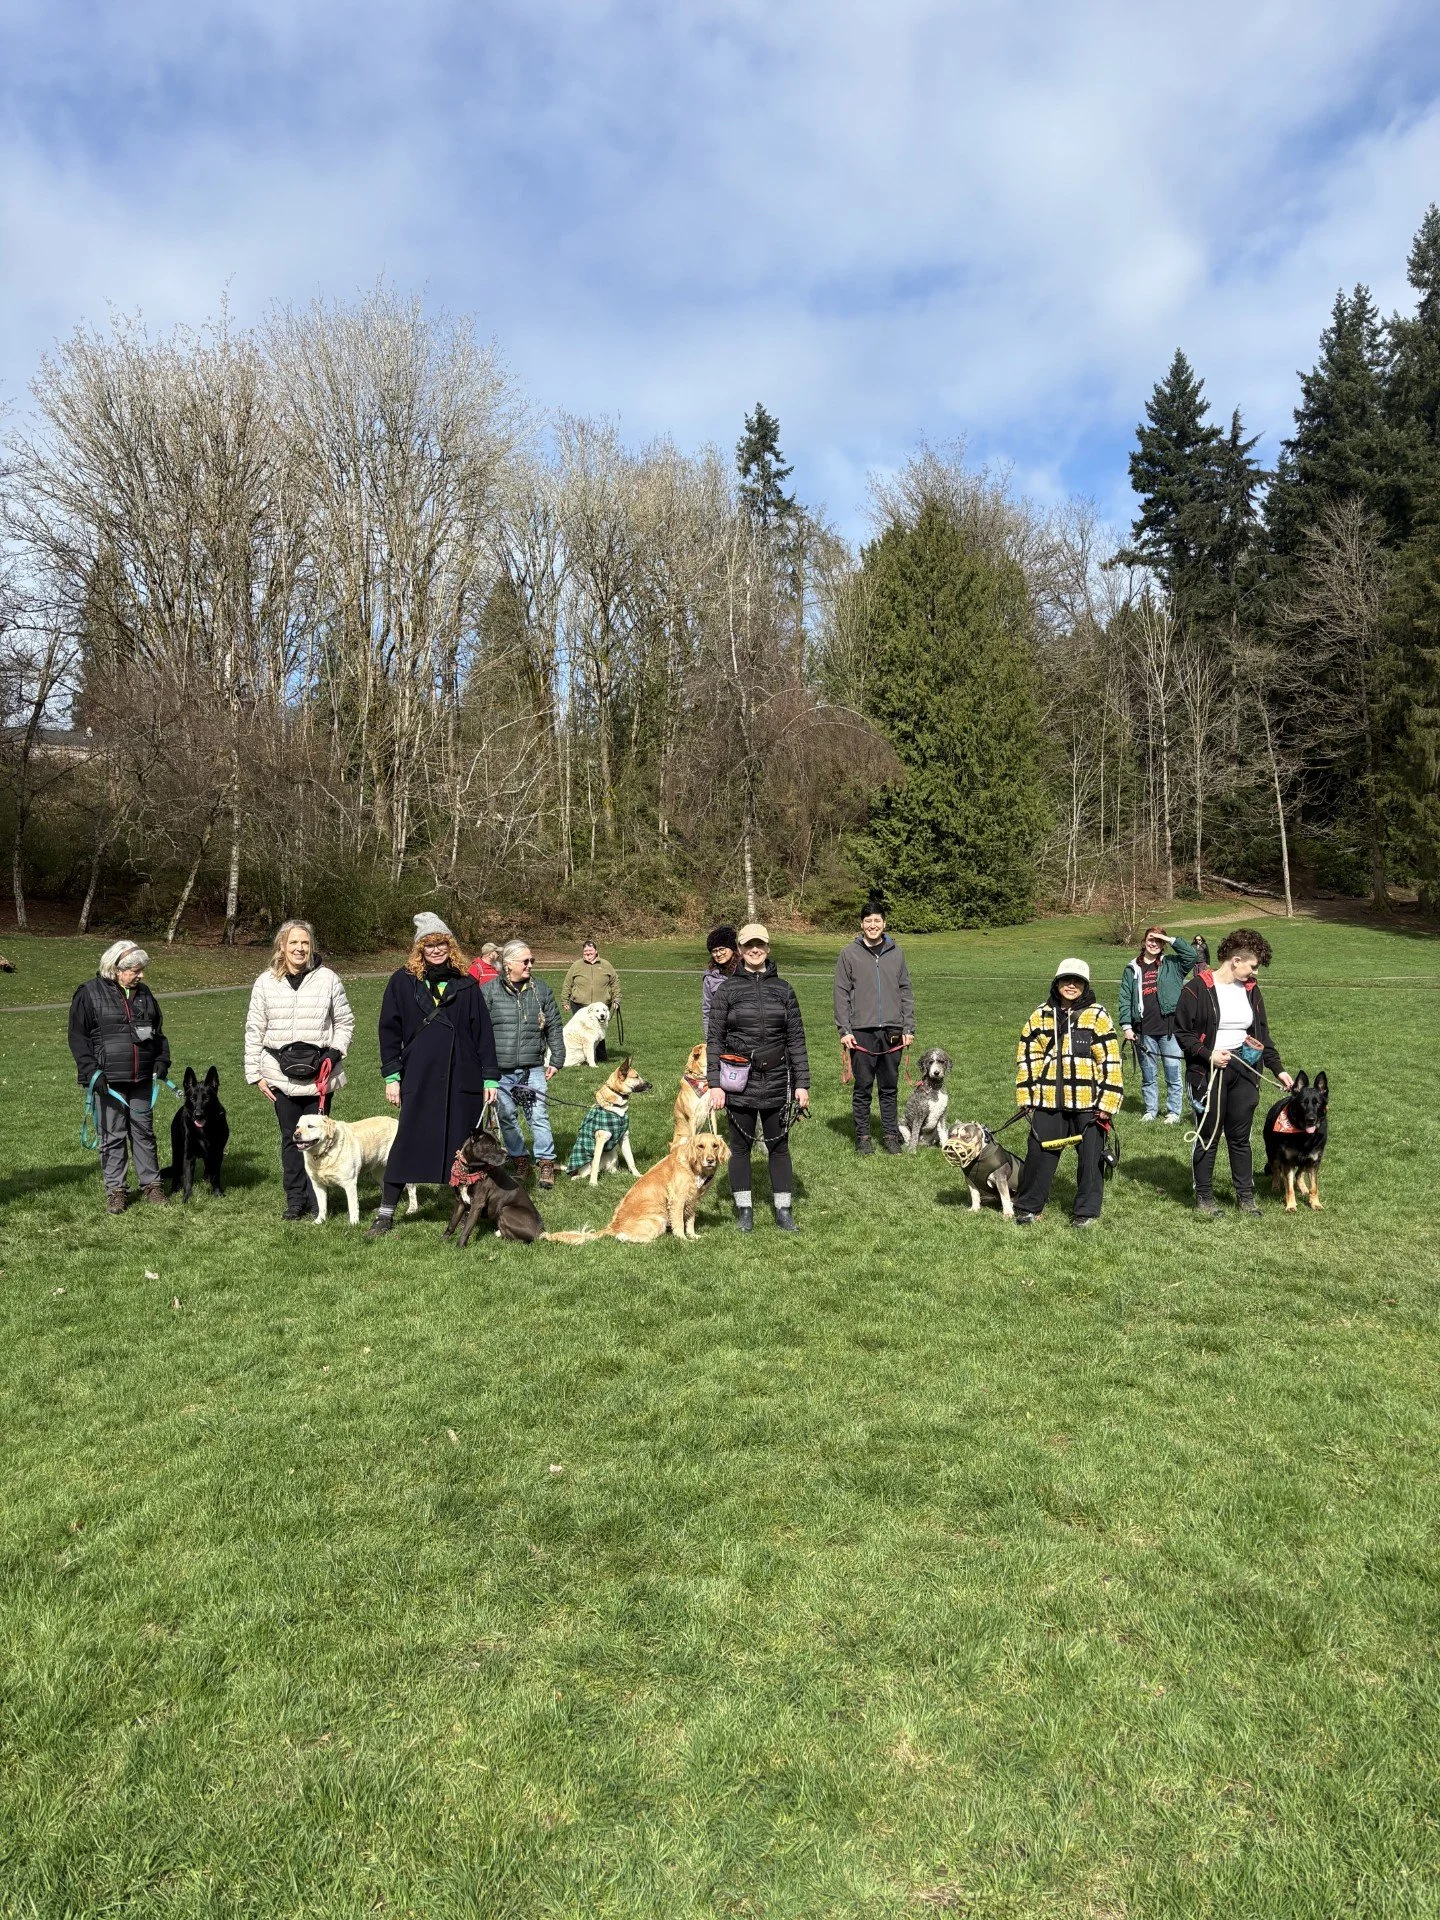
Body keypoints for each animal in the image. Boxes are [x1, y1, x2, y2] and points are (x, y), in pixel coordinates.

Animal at [169, 1065, 229, 1200]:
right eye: (192, 1098)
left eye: (206, 1098)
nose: (198, 1115)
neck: (203, 1130)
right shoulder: (188, 1156)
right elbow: (188, 1180)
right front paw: (186, 1198)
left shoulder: (217, 1153)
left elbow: (215, 1175)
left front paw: (217, 1193)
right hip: (177, 1152)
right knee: (176, 1173)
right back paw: (174, 1189)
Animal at [548, 1134, 731, 1244]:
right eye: (700, 1146)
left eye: (715, 1146)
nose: (710, 1160)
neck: (694, 1168)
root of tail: (613, 1226)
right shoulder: (677, 1200)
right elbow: (679, 1222)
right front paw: (684, 1239)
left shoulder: (693, 1199)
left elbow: (690, 1220)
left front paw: (693, 1235)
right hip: (658, 1220)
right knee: (622, 1237)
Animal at [1263, 1071, 1329, 1213]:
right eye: (1303, 1103)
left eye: (1317, 1103)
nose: (1311, 1119)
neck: (1304, 1136)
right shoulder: (1288, 1162)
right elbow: (1289, 1188)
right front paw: (1291, 1205)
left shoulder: (1313, 1162)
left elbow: (1314, 1187)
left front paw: (1315, 1203)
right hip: (1273, 1154)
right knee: (1276, 1171)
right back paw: (1276, 1187)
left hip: (1305, 1160)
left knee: (1299, 1174)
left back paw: (1303, 1188)